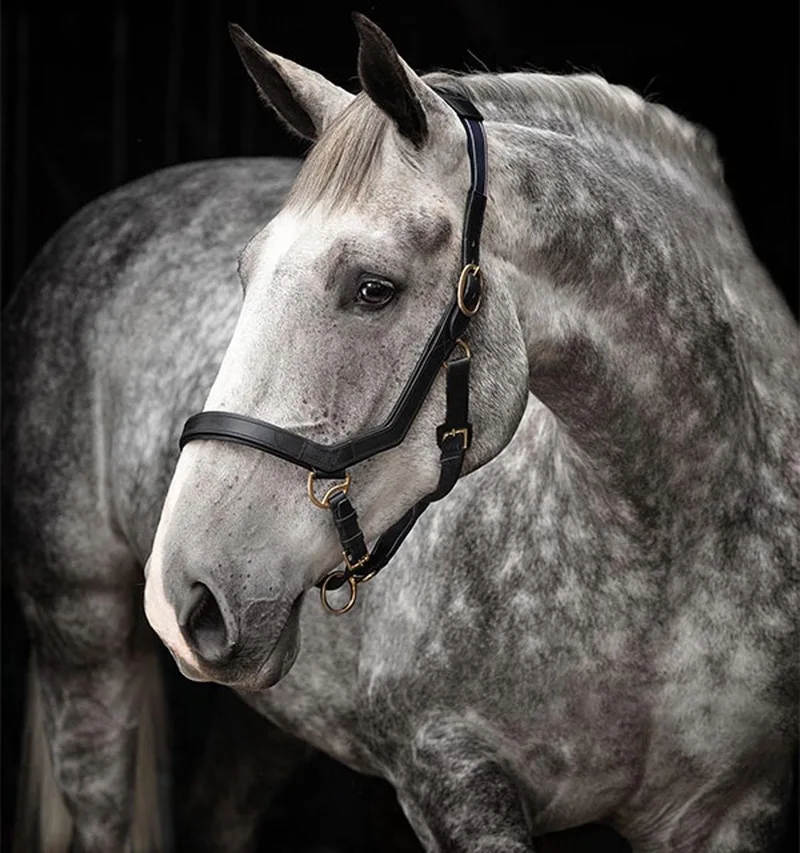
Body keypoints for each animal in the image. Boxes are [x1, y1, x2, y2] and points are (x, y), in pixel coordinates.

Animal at [4, 12, 797, 853]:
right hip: (83, 642)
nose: (179, 592)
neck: (671, 537)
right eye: (245, 274)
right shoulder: (451, 778)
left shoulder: (734, 806)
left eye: (373, 289)